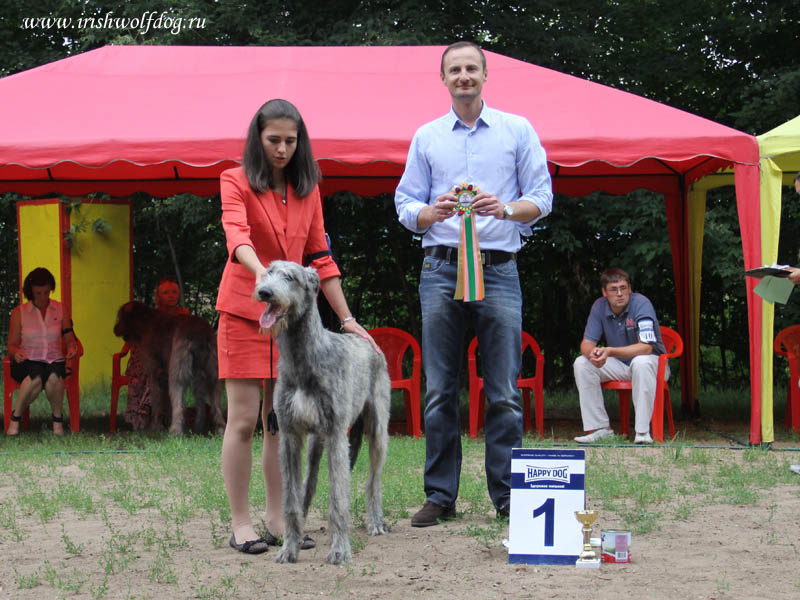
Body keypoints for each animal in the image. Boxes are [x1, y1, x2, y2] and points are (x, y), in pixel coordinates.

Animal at [112, 302, 227, 434]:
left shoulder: (154, 374)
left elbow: (157, 400)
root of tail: (199, 334)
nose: (114, 329)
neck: (145, 321)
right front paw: (164, 422)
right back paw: (217, 428)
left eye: (120, 317)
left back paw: (175, 430)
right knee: (215, 402)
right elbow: (165, 401)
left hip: (178, 368)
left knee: (178, 401)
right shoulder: (164, 376)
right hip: (214, 371)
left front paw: (156, 425)